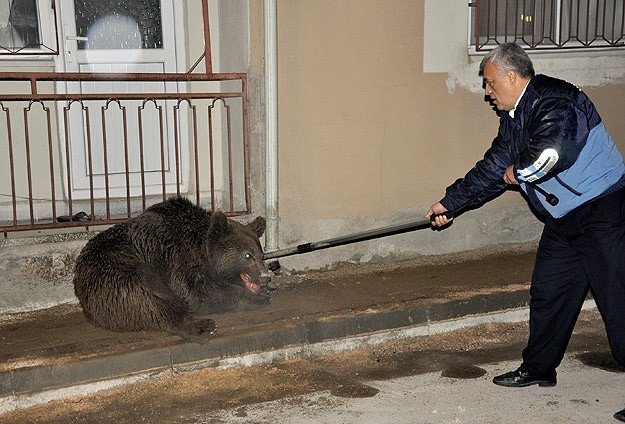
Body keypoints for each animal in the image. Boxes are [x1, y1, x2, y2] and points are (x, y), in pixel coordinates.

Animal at [72, 196, 270, 342]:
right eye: (247, 255)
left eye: (261, 255)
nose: (266, 277)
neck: (202, 253)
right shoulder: (176, 258)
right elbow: (195, 293)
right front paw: (258, 297)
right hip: (120, 274)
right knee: (152, 297)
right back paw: (203, 327)